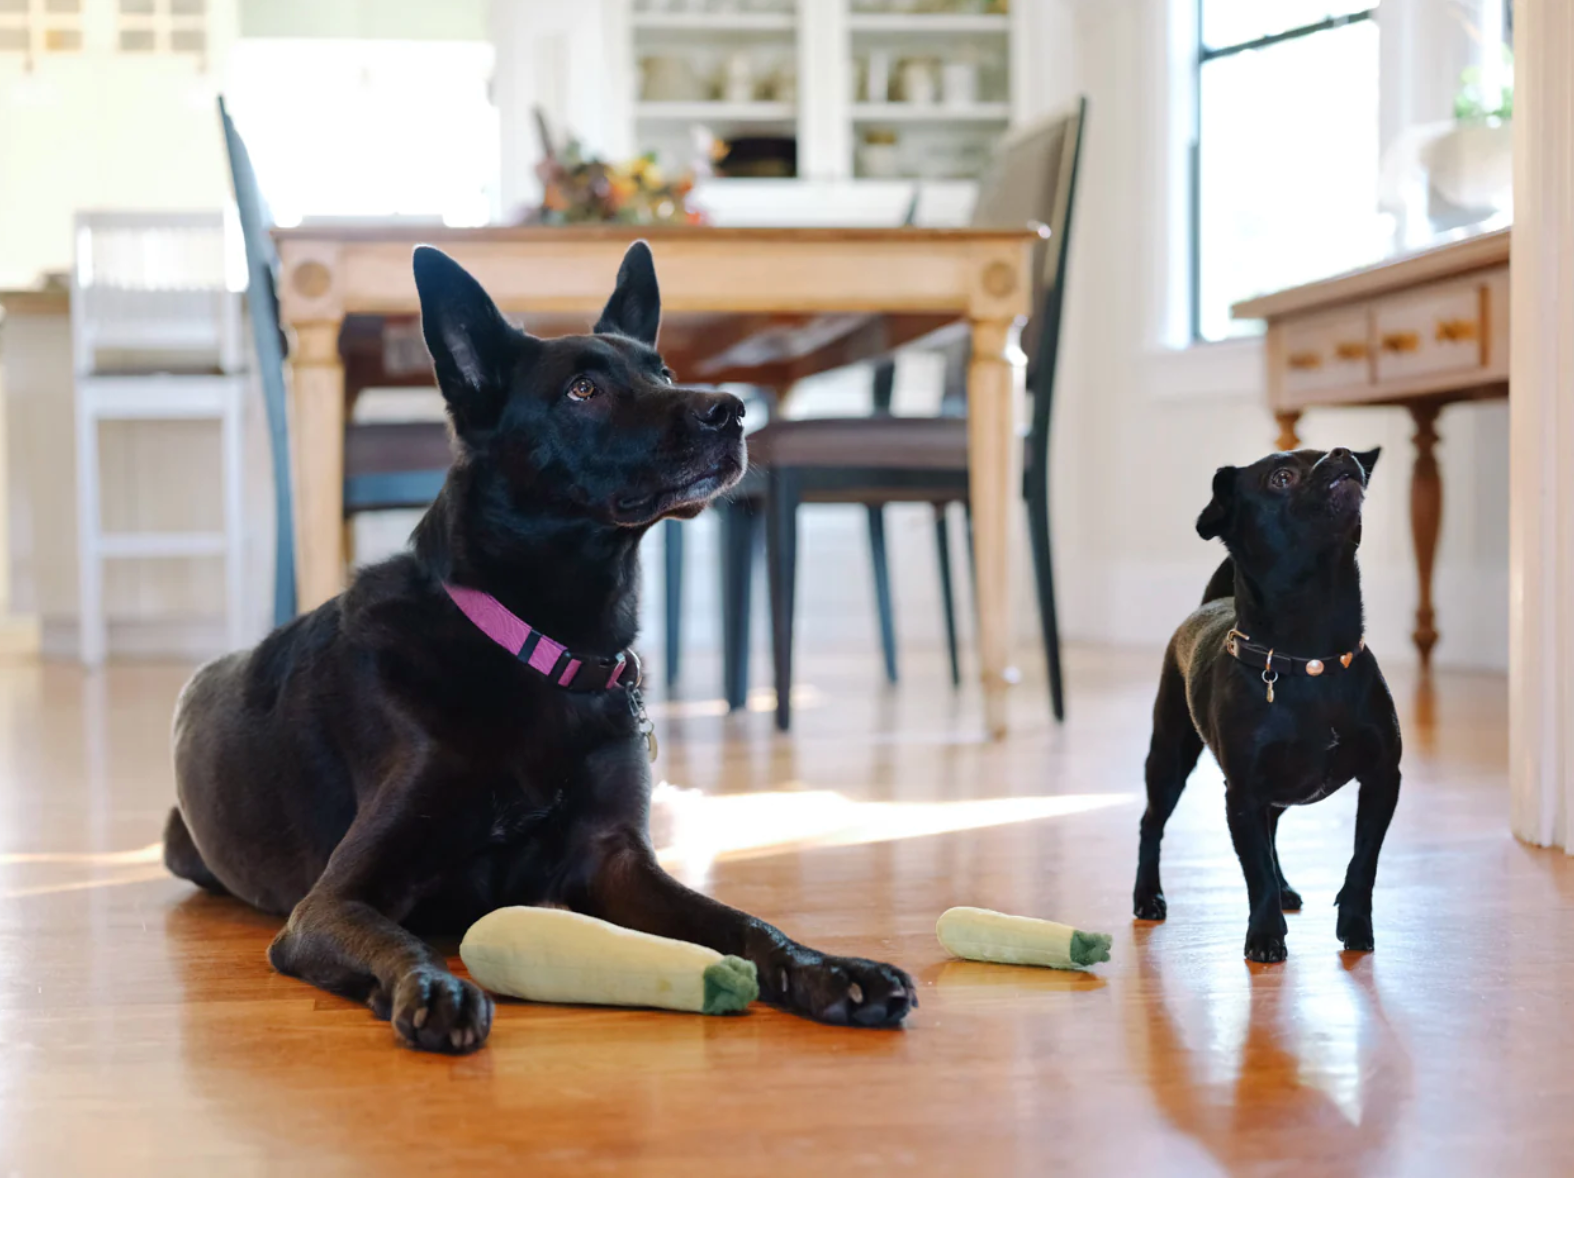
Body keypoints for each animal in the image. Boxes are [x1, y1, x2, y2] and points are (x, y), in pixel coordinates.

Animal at [166, 243, 919, 1050]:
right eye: (583, 390)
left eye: (664, 373)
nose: (731, 409)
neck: (541, 650)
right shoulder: (328, 904)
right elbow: (393, 935)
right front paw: (432, 987)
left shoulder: (616, 861)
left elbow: (742, 922)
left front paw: (831, 970)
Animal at [1133, 446, 1404, 962]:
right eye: (1281, 477)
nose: (1343, 454)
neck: (1312, 657)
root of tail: (1209, 603)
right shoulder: (1242, 794)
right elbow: (1253, 868)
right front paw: (1263, 936)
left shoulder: (1382, 779)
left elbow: (1364, 860)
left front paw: (1355, 925)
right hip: (1169, 759)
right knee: (1151, 824)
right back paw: (1147, 896)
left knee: (1273, 830)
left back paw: (1285, 889)